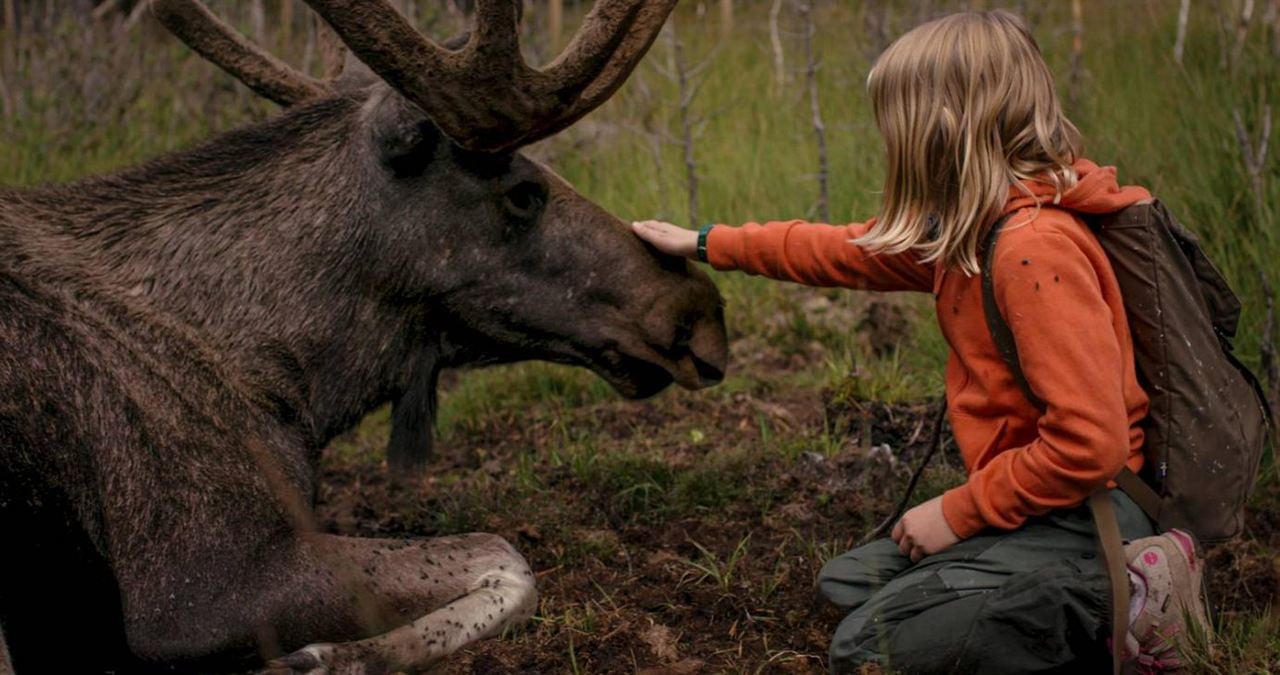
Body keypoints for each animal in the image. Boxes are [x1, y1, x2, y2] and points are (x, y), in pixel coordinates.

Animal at [0, 0, 727, 671]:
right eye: (523, 193)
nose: (703, 312)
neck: (298, 383)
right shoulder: (196, 582)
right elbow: (507, 555)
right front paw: (330, 656)